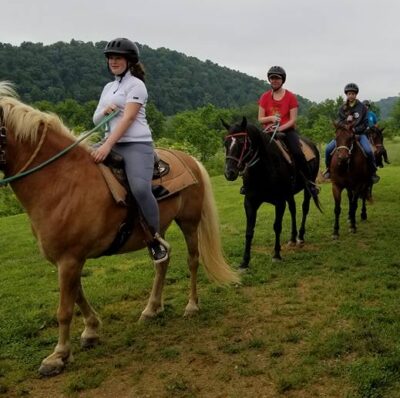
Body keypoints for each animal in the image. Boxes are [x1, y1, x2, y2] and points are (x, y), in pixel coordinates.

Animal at [0, 81, 238, 376]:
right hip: (156, 231)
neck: (62, 181)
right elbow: (77, 296)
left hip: (189, 222)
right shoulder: (67, 259)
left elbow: (65, 309)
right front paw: (91, 331)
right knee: (162, 261)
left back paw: (192, 306)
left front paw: (58, 355)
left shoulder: (69, 258)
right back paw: (151, 309)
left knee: (193, 260)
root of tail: (189, 159)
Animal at [222, 118, 322, 268]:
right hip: (289, 194)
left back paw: (300, 237)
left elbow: (277, 226)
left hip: (308, 186)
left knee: (305, 208)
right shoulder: (250, 202)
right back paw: (292, 238)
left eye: (241, 142)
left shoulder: (279, 202)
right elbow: (249, 231)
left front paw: (276, 255)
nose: (229, 173)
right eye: (225, 143)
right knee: (293, 209)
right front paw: (245, 261)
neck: (263, 170)